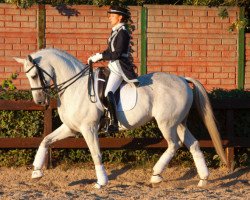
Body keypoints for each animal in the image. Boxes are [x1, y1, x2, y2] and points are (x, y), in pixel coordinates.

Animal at [14, 47, 228, 188]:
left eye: (33, 75)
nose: (39, 101)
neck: (76, 87)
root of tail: (183, 79)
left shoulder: (88, 129)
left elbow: (96, 153)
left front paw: (101, 182)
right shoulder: (71, 128)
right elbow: (46, 140)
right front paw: (36, 171)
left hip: (167, 123)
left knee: (174, 145)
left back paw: (156, 175)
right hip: (179, 123)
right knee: (193, 144)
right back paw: (203, 179)